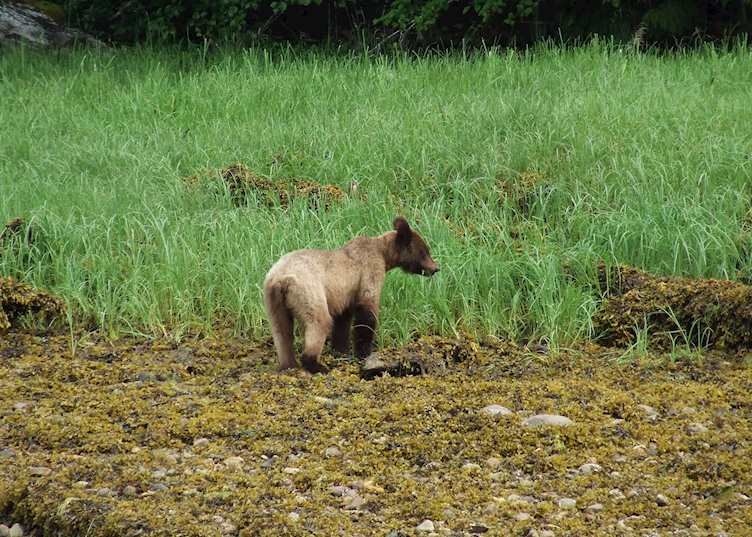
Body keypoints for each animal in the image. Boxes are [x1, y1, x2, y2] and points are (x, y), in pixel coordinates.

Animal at [263, 216, 439, 374]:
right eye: (425, 251)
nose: (436, 268)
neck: (384, 254)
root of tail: (280, 279)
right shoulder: (369, 272)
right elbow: (366, 312)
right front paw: (364, 352)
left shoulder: (344, 293)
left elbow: (343, 321)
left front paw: (341, 350)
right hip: (308, 290)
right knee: (319, 321)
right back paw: (315, 364)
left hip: (273, 299)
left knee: (281, 330)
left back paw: (288, 364)